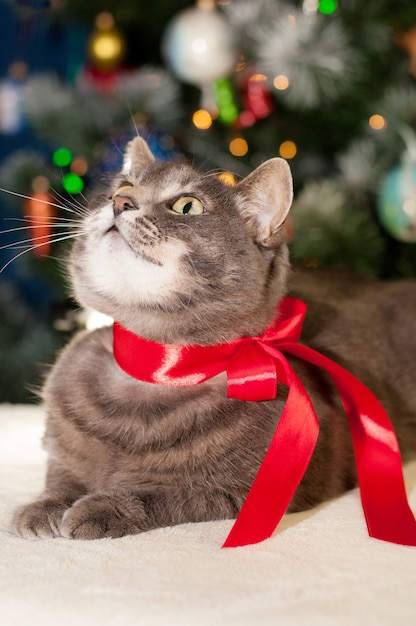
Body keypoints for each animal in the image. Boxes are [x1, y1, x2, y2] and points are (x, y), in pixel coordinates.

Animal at [11, 136, 416, 536]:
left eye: (187, 206)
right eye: (122, 187)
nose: (120, 202)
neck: (156, 369)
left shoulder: (248, 490)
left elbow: (168, 493)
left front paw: (102, 506)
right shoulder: (60, 451)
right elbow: (62, 473)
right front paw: (44, 506)